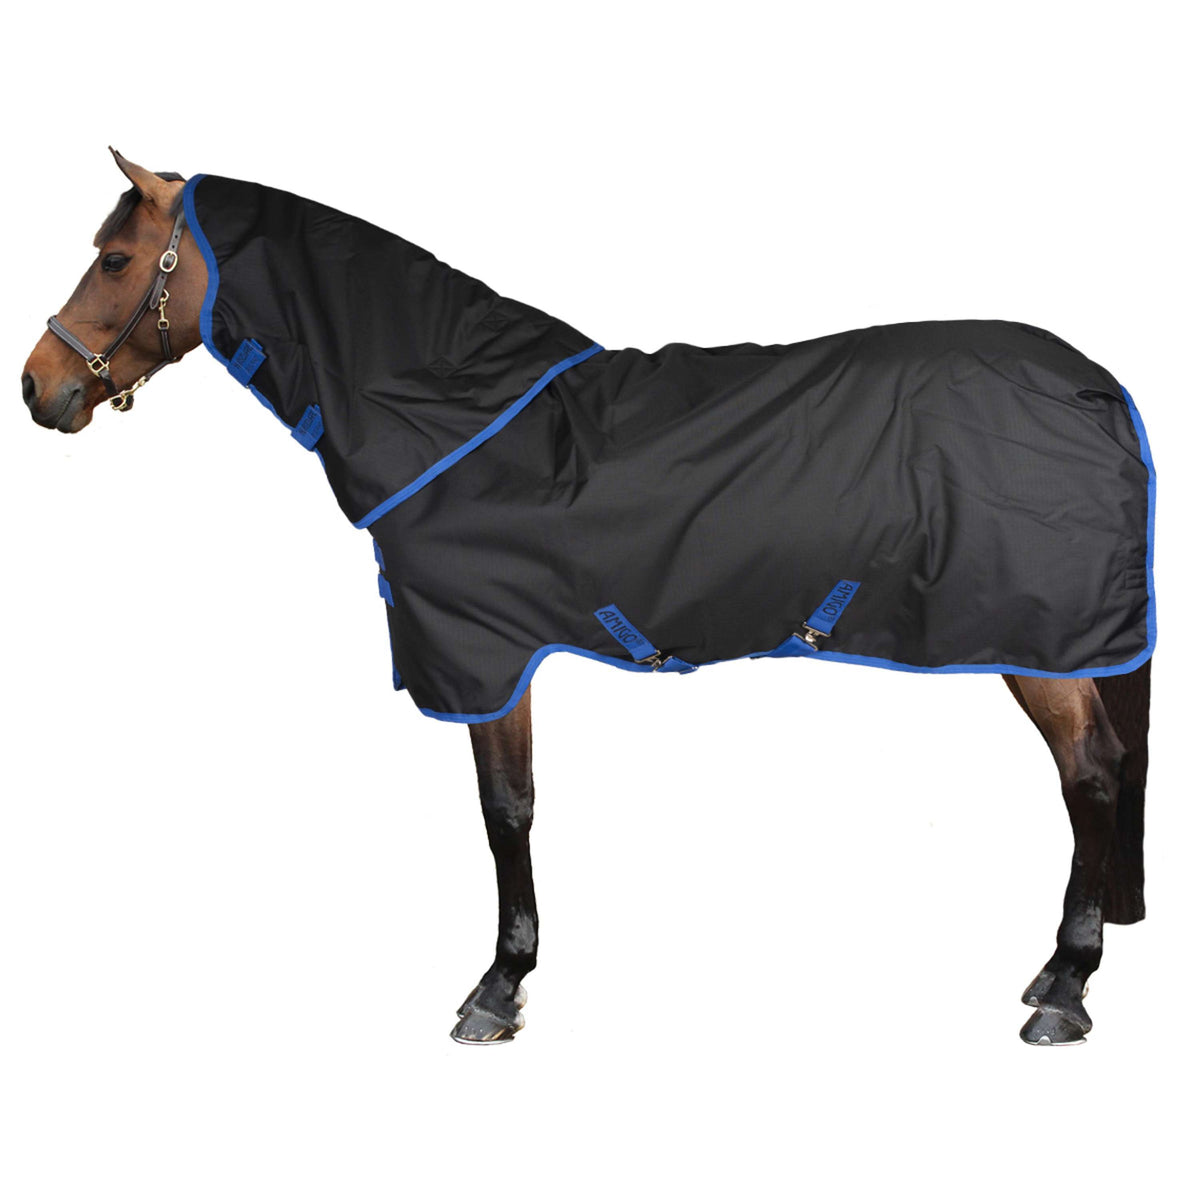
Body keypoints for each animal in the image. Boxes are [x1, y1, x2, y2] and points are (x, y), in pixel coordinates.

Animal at [21, 149, 1153, 1046]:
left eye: (115, 260)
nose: (38, 387)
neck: (457, 419)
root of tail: (1093, 382)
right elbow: (515, 806)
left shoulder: (481, 656)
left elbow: (506, 811)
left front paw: (497, 987)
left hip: (1036, 641)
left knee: (1091, 775)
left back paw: (1066, 989)